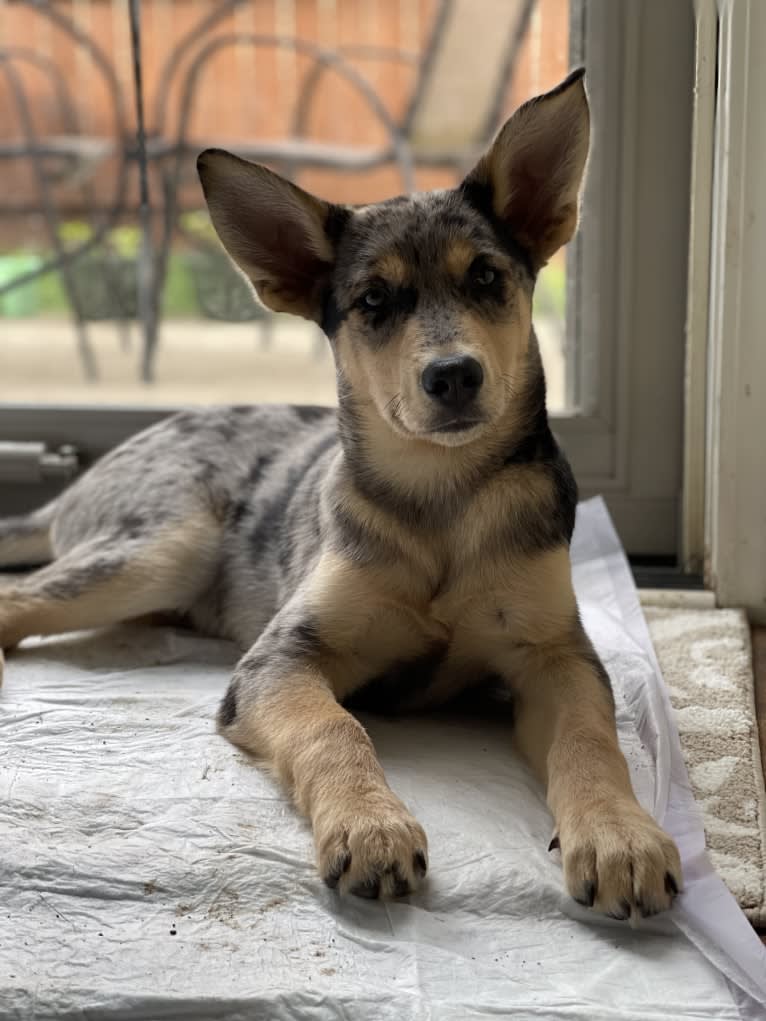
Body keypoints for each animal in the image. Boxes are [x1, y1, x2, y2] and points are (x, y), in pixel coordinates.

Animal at [0, 74, 682, 918]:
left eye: (486, 277)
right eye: (373, 301)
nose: (453, 375)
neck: (441, 499)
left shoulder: (555, 654)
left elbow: (591, 737)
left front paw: (621, 835)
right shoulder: (281, 660)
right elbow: (335, 730)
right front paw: (370, 823)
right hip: (164, 544)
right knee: (18, 599)